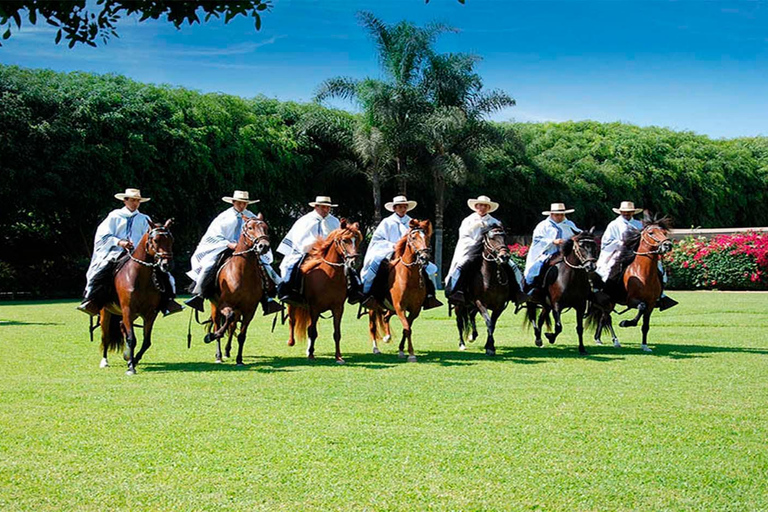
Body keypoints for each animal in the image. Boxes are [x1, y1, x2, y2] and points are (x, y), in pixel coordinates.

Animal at [99, 218, 176, 374]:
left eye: (171, 240)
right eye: (155, 240)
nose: (167, 264)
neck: (140, 278)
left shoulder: (150, 313)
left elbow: (146, 342)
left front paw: (133, 359)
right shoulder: (128, 310)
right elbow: (131, 339)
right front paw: (131, 367)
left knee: (121, 326)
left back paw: (127, 355)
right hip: (106, 313)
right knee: (106, 336)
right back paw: (104, 361)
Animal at [204, 214, 272, 366]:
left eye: (265, 227)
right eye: (250, 227)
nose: (263, 246)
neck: (242, 274)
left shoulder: (249, 310)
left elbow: (241, 335)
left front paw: (239, 359)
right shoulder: (224, 305)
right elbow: (226, 321)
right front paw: (212, 336)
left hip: (238, 310)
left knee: (232, 326)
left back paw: (227, 350)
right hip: (215, 307)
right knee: (219, 324)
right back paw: (219, 354)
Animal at [284, 220, 364, 364]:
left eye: (358, 240)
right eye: (345, 240)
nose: (353, 262)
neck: (330, 276)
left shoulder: (338, 308)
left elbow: (336, 333)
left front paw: (338, 357)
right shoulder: (314, 308)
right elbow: (312, 331)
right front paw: (311, 355)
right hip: (292, 305)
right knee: (292, 321)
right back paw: (291, 342)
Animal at [368, 218, 436, 362]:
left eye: (427, 237)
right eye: (413, 237)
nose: (424, 257)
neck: (410, 277)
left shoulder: (415, 309)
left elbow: (407, 328)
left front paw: (402, 350)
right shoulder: (400, 307)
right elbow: (407, 328)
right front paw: (411, 354)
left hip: (391, 308)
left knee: (386, 317)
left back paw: (387, 337)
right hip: (373, 307)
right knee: (373, 326)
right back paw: (376, 348)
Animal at [588, 212, 672, 352]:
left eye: (664, 232)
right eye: (651, 232)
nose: (667, 245)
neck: (643, 274)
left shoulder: (651, 304)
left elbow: (645, 325)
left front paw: (645, 345)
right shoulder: (631, 301)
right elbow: (641, 307)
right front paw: (626, 323)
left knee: (603, 318)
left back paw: (598, 338)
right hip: (607, 301)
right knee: (607, 318)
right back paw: (615, 341)